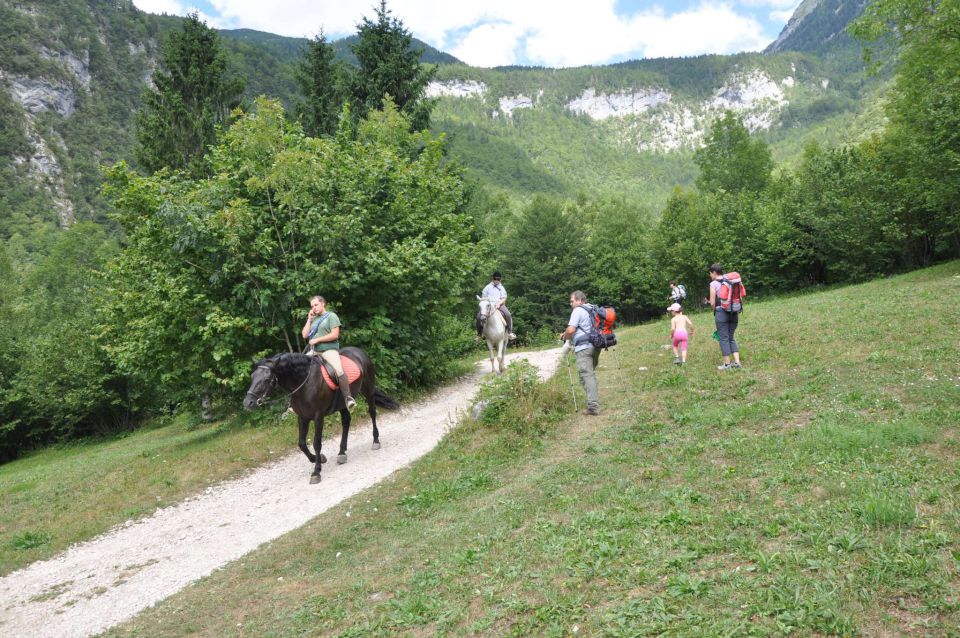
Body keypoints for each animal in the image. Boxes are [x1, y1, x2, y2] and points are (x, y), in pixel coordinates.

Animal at [248, 350, 402, 484]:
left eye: (267, 379)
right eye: (252, 377)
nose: (248, 402)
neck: (304, 382)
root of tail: (359, 352)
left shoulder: (318, 416)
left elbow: (317, 443)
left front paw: (316, 472)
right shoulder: (302, 417)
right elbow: (301, 443)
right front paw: (319, 459)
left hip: (368, 390)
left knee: (372, 412)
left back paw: (375, 440)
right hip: (342, 404)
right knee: (346, 422)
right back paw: (342, 453)